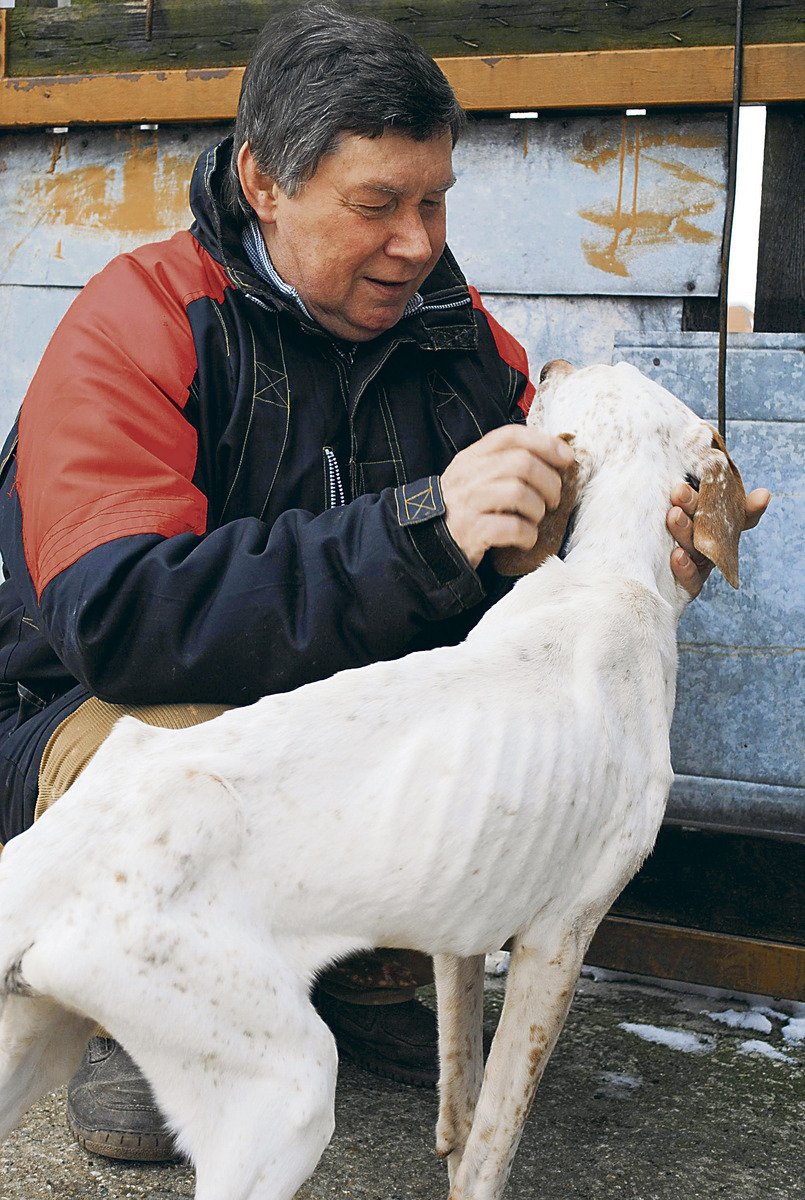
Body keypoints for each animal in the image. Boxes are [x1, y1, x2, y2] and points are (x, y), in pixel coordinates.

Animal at [0, 362, 748, 1200]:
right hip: (284, 1095)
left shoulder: (460, 937)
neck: (606, 576)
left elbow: (460, 1098)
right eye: (577, 380)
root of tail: (48, 858)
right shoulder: (559, 941)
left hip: (28, 1046)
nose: (548, 366)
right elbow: (493, 1137)